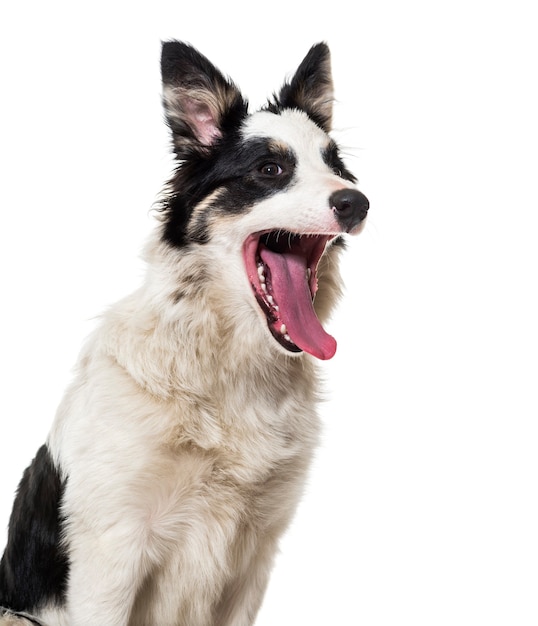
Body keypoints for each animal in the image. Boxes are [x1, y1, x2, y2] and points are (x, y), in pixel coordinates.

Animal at [0, 41, 366, 620]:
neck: (226, 366)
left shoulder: (253, 556)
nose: (357, 202)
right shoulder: (111, 555)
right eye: (270, 168)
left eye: (337, 167)